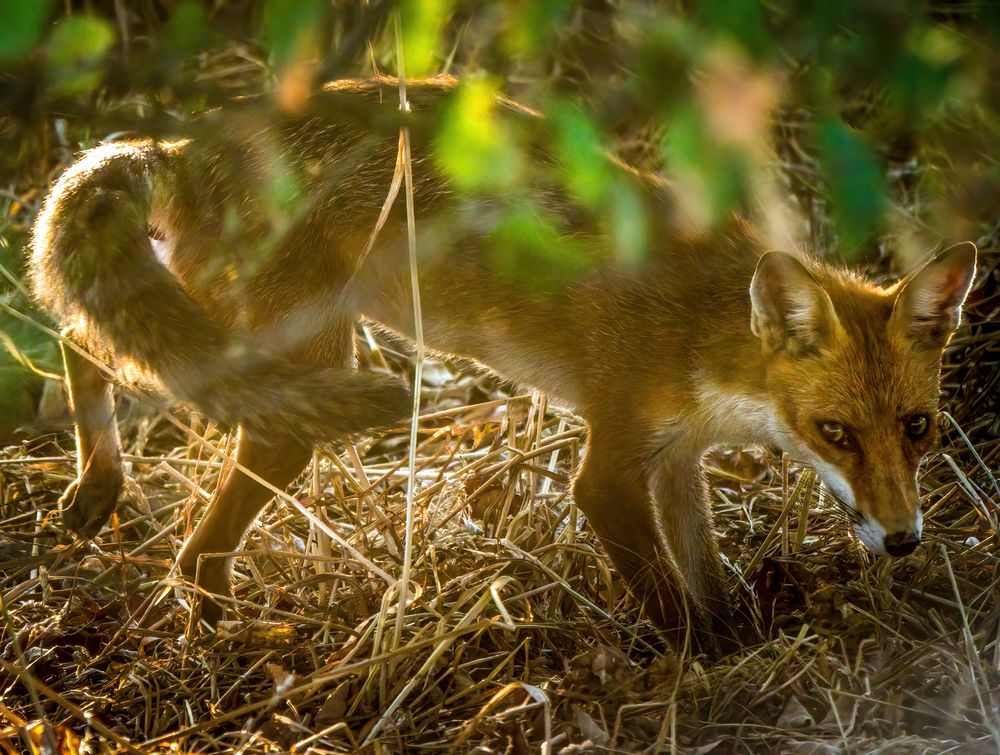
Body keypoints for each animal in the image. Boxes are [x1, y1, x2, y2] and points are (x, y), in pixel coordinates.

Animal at [29, 77, 976, 652]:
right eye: (835, 431)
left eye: (918, 427)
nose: (904, 539)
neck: (704, 338)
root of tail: (187, 146)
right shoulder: (611, 465)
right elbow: (668, 598)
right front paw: (701, 669)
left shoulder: (674, 460)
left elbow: (705, 573)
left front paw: (735, 636)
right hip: (285, 389)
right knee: (190, 535)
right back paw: (226, 629)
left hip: (224, 339)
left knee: (79, 340)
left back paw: (96, 487)